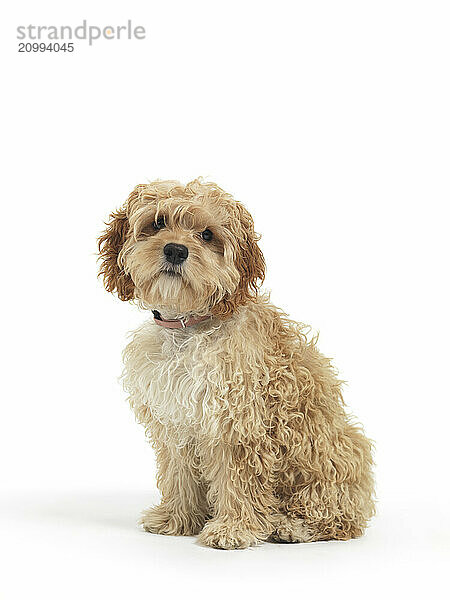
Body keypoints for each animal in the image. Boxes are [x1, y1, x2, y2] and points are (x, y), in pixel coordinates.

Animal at [98, 178, 376, 548]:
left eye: (207, 234)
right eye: (157, 223)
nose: (175, 250)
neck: (189, 327)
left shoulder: (237, 423)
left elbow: (239, 481)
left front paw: (232, 529)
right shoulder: (176, 422)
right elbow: (179, 474)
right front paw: (177, 519)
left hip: (331, 461)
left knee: (339, 519)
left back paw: (292, 526)